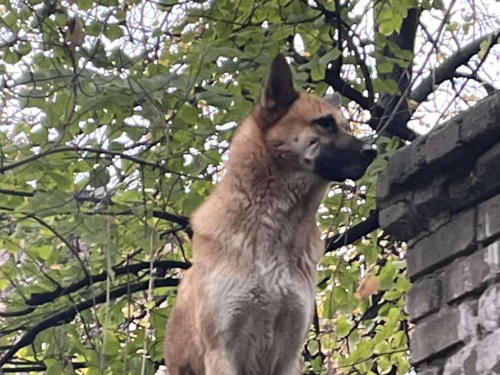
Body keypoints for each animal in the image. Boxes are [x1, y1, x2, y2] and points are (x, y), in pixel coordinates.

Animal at [163, 53, 376, 375]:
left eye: (344, 126)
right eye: (324, 124)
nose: (372, 151)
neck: (274, 225)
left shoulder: (289, 354)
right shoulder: (222, 351)